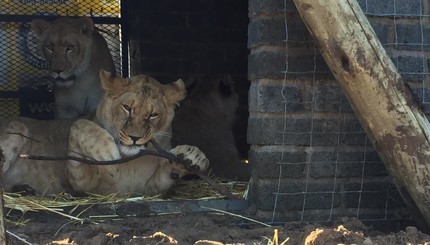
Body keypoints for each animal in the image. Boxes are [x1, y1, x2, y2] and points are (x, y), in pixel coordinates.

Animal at [0, 70, 208, 195]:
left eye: (153, 114)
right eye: (127, 108)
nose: (134, 138)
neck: (129, 161)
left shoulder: (147, 189)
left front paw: (193, 156)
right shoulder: (82, 187)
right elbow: (79, 125)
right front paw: (105, 151)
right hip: (17, 127)